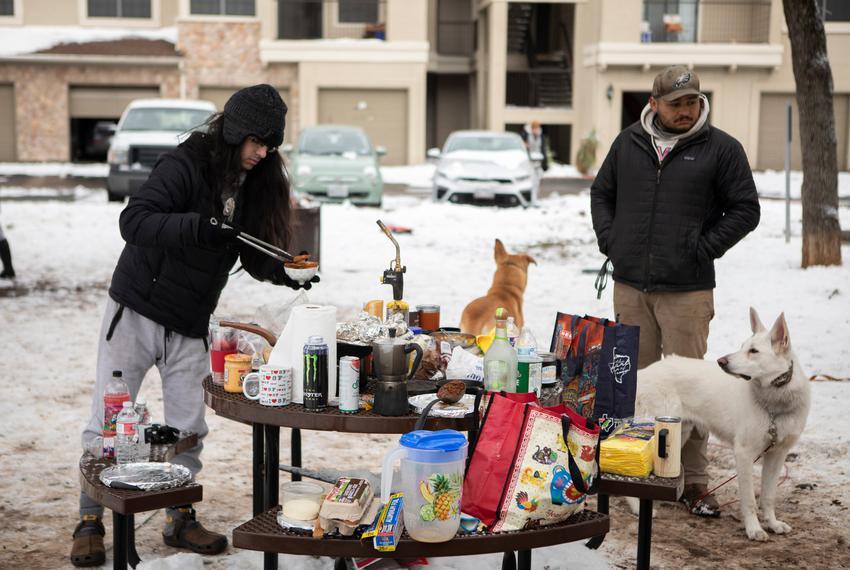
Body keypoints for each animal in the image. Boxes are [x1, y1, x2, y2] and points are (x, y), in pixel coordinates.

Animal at [636, 308, 808, 540]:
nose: (721, 361)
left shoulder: (777, 455)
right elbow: (750, 500)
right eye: (742, 346)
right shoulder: (744, 454)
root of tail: (645, 371)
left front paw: (772, 524)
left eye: (753, 351)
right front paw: (754, 529)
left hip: (678, 433)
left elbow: (768, 497)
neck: (775, 402)